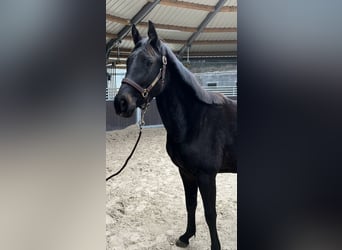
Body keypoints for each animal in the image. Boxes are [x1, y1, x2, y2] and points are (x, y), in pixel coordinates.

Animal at [113, 21, 236, 250]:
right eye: (128, 61)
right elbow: (190, 205)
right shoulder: (186, 172)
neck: (196, 120)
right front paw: (186, 236)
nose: (121, 103)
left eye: (149, 62)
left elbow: (210, 213)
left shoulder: (207, 176)